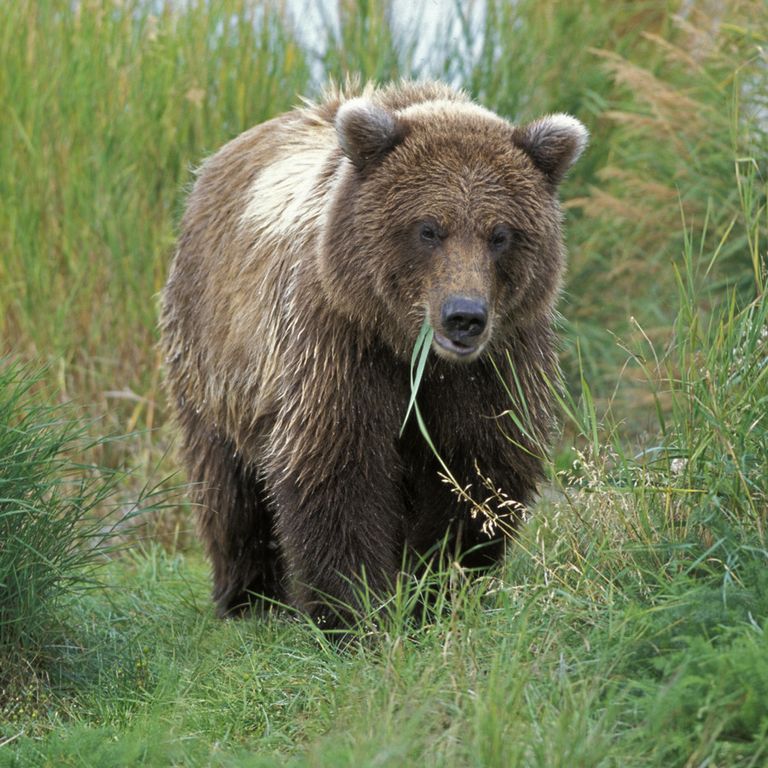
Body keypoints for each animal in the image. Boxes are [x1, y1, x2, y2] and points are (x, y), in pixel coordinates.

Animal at [160, 79, 587, 630]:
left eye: (500, 234)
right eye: (428, 229)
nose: (464, 316)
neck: (413, 352)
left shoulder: (497, 364)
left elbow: (477, 471)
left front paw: (438, 591)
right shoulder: (338, 344)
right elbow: (338, 467)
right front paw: (355, 611)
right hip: (213, 357)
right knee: (228, 485)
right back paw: (250, 597)